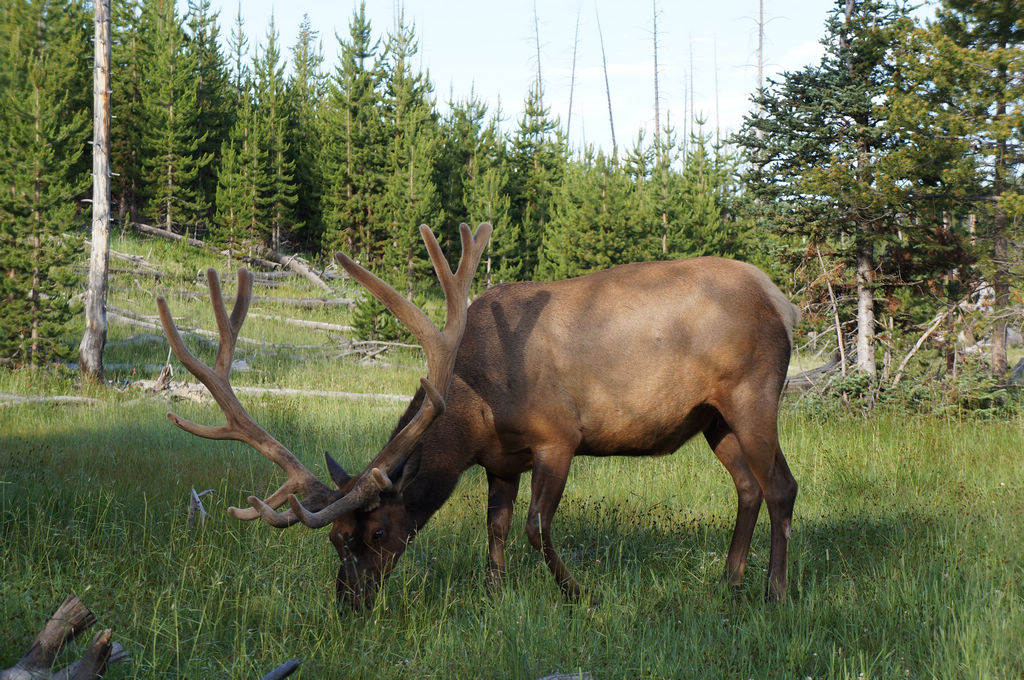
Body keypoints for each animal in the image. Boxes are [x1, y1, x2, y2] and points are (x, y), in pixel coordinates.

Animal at [157, 224, 798, 610]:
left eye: (380, 531)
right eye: (338, 540)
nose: (349, 603)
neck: (475, 407)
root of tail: (780, 299)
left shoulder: (559, 436)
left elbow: (537, 526)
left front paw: (579, 593)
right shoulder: (500, 459)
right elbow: (498, 527)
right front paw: (493, 595)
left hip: (754, 392)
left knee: (782, 487)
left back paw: (774, 591)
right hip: (714, 417)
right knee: (748, 487)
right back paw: (729, 581)